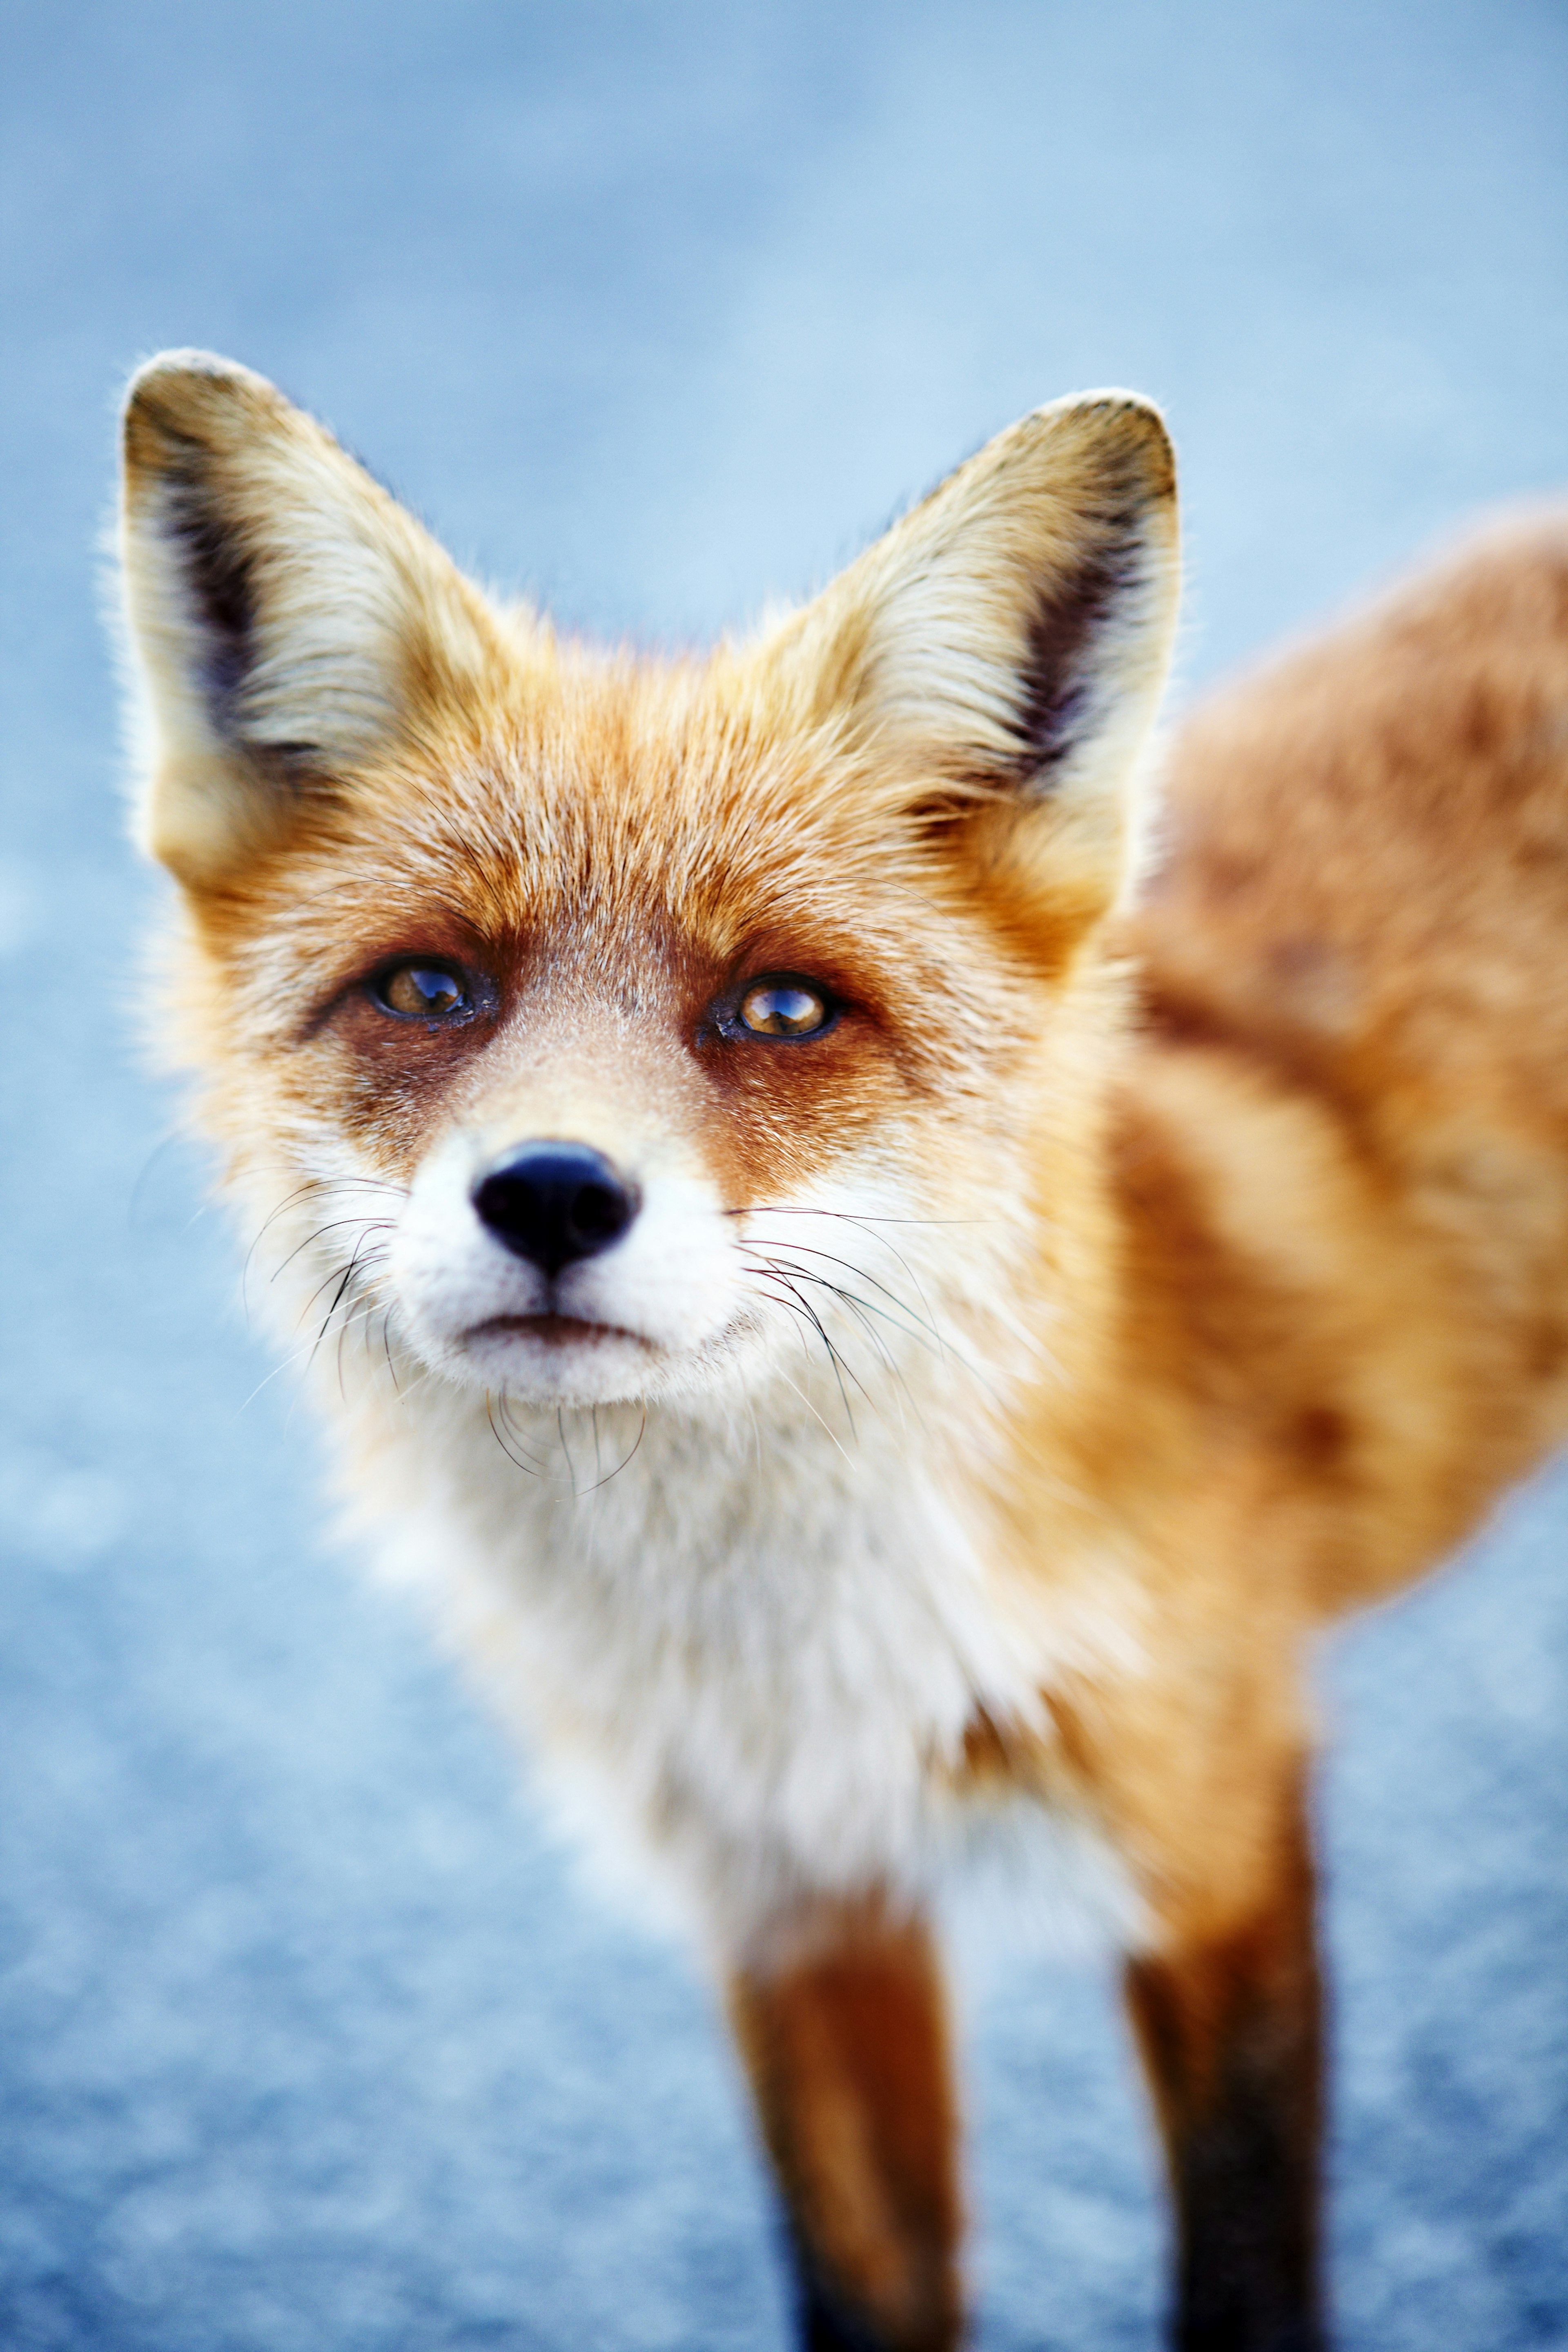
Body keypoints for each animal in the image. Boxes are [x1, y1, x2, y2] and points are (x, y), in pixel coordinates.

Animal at [113, 352, 1568, 2352]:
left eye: (781, 1007)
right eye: (428, 988)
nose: (551, 1194)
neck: (791, 1656)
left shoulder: (1213, 1845)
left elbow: (1241, 2282)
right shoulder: (795, 1904)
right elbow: (864, 2286)